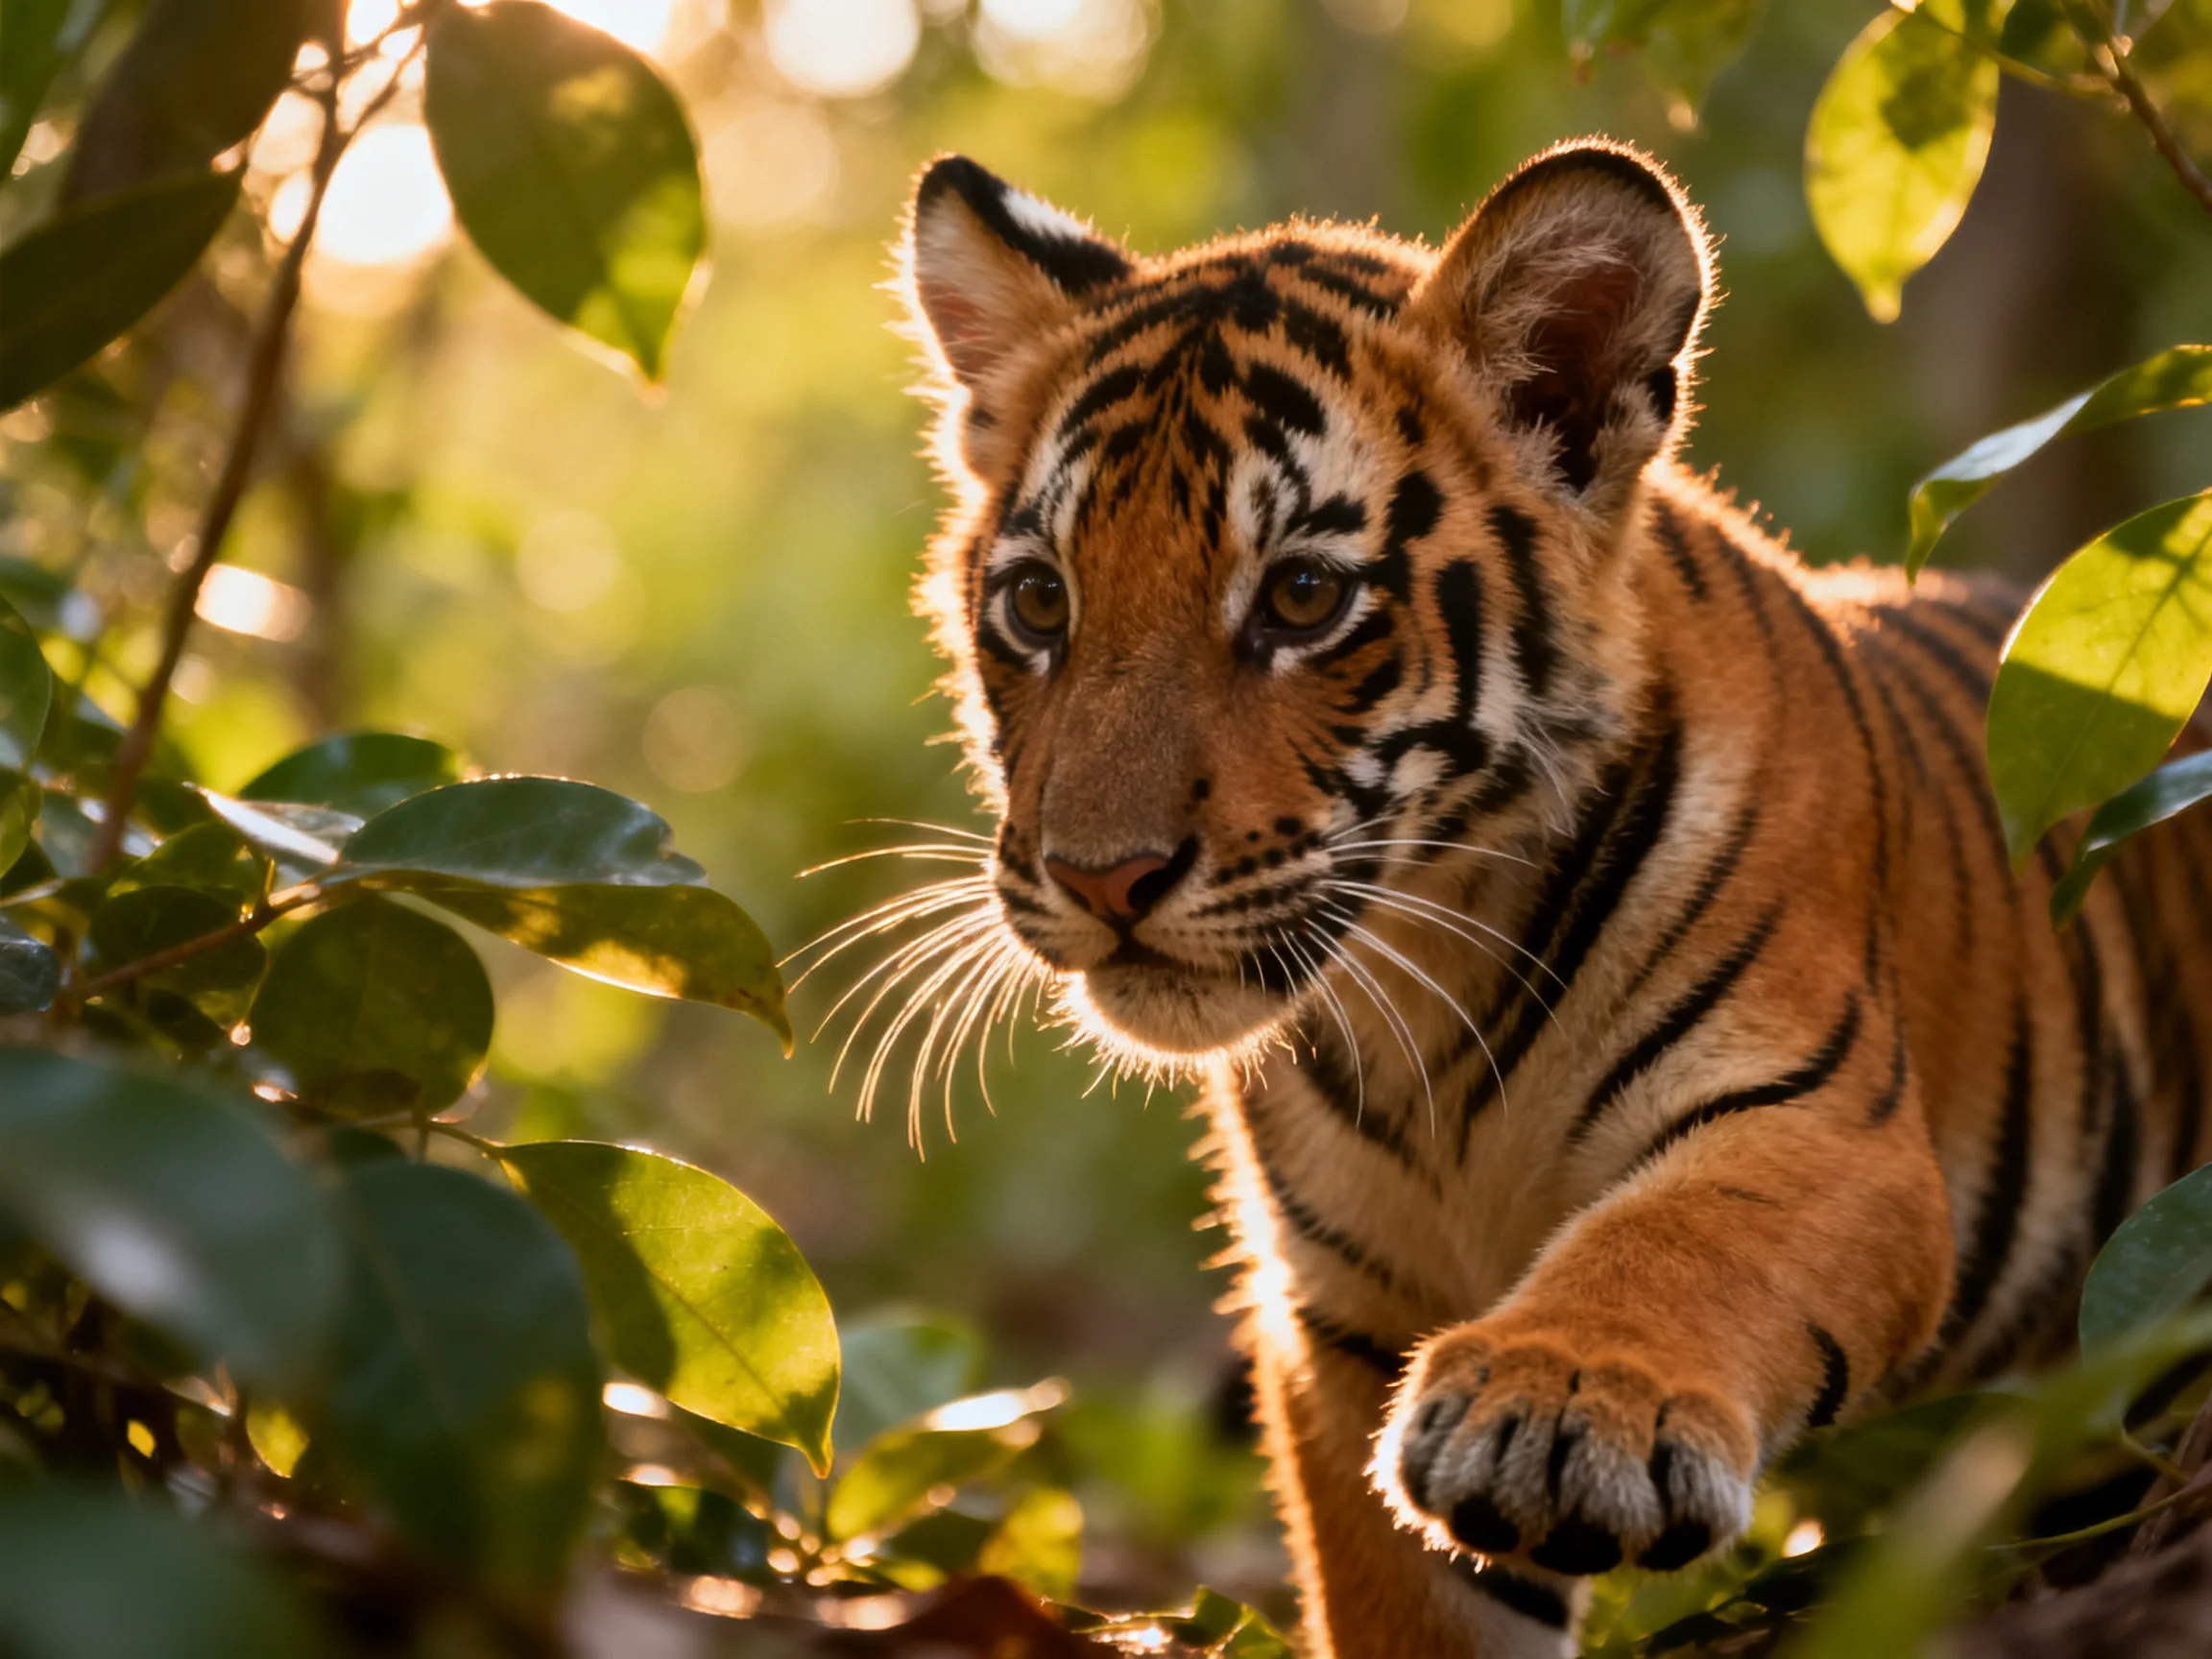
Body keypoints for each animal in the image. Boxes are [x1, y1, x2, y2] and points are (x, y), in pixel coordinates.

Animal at [885, 138, 2212, 1657]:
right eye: (1040, 605)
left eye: (1301, 597)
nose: (1100, 875)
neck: (1424, 1002)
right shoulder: (1335, 1311)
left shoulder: (1824, 1122)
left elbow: (1682, 1236)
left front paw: (1564, 1406)